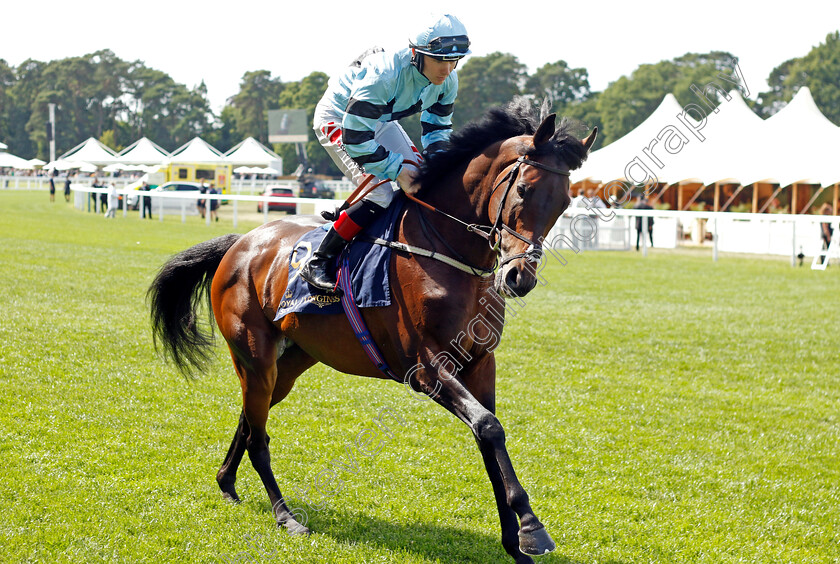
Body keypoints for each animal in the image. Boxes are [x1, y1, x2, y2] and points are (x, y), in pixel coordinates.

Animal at [149, 99, 596, 560]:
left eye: (565, 202)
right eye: (524, 189)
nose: (519, 278)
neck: (447, 251)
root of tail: (240, 243)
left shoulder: (479, 362)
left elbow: (488, 436)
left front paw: (514, 539)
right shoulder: (426, 368)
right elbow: (489, 427)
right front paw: (531, 527)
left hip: (292, 361)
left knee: (250, 418)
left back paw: (226, 481)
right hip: (253, 355)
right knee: (259, 437)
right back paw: (285, 515)